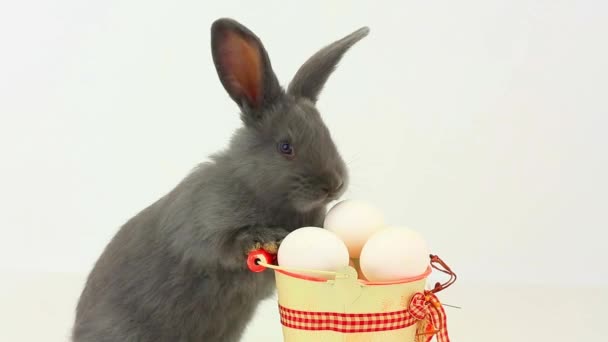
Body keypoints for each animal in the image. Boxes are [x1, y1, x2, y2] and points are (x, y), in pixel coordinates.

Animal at [69, 17, 368, 340]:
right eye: (285, 147)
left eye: (327, 134)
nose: (334, 185)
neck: (255, 187)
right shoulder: (203, 227)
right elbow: (224, 245)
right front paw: (265, 239)